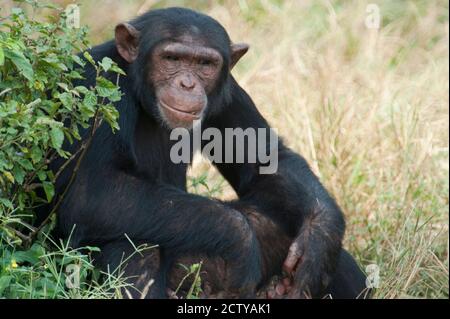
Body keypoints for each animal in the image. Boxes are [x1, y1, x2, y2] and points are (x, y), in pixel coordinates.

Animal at [46, 6, 370, 298]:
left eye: (205, 64)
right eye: (171, 58)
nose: (187, 84)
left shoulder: (229, 90)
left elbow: (265, 159)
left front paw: (320, 238)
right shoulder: (97, 86)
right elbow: (93, 191)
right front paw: (241, 242)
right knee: (134, 246)